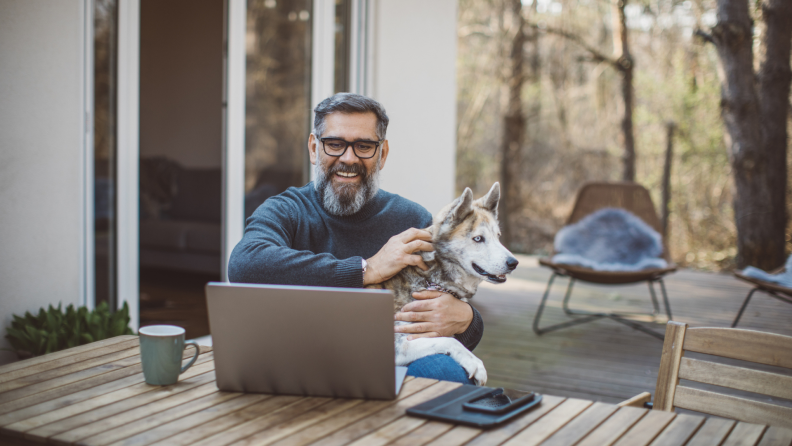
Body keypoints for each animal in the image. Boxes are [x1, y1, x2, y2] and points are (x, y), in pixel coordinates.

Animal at [366, 183, 516, 386]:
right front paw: (474, 363)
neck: (429, 278)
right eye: (478, 238)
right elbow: (449, 341)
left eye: (498, 236)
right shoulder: (395, 344)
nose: (514, 263)